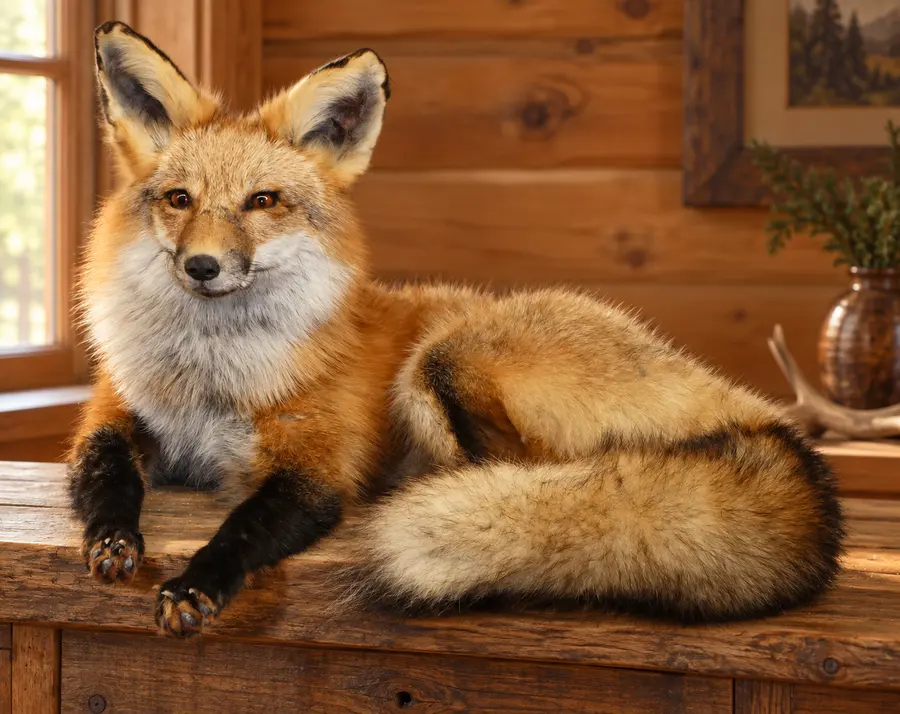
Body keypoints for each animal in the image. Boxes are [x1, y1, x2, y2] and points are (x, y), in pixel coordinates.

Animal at [67, 21, 844, 638]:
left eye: (262, 202)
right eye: (179, 199)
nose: (202, 266)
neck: (207, 383)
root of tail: (750, 408)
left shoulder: (316, 468)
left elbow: (243, 526)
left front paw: (197, 583)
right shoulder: (115, 416)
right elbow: (102, 474)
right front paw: (112, 539)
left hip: (436, 363)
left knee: (529, 473)